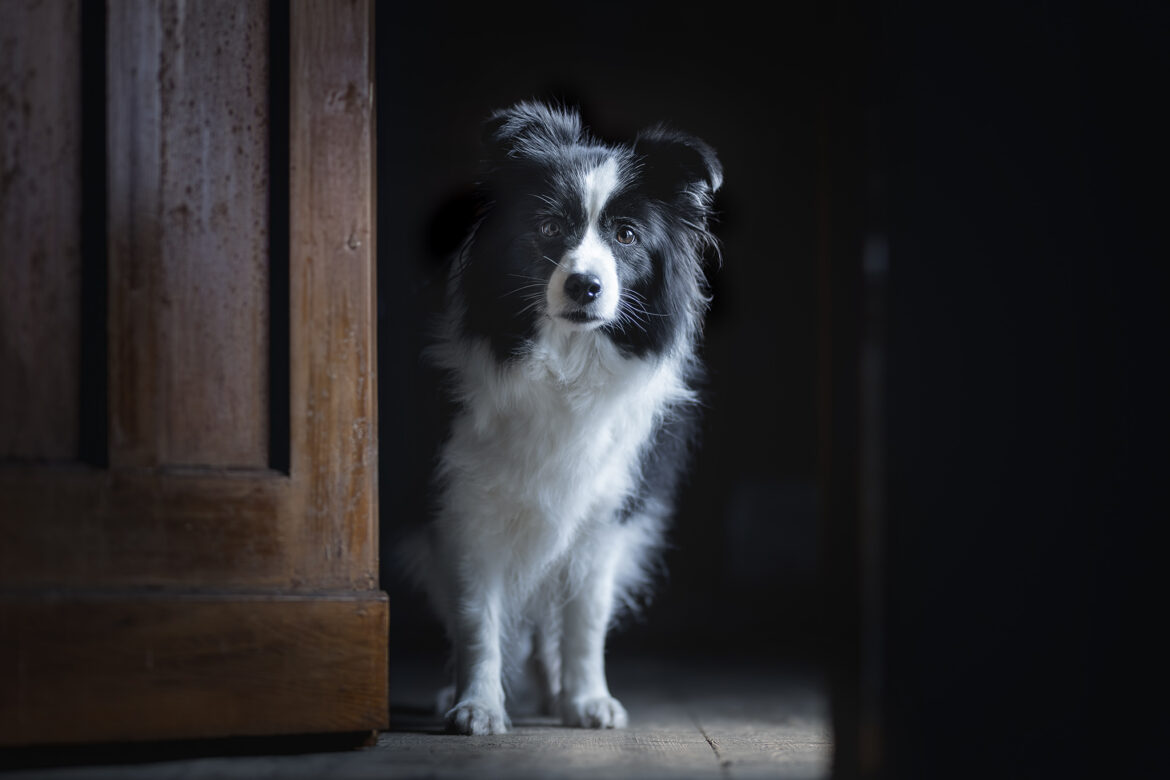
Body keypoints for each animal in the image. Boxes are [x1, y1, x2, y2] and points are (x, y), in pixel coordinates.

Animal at [409, 100, 720, 734]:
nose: (585, 286)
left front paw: (587, 700)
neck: (567, 363)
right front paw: (477, 706)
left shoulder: (607, 511)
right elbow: (476, 614)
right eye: (550, 228)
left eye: (626, 235)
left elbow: (585, 616)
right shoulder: (464, 502)